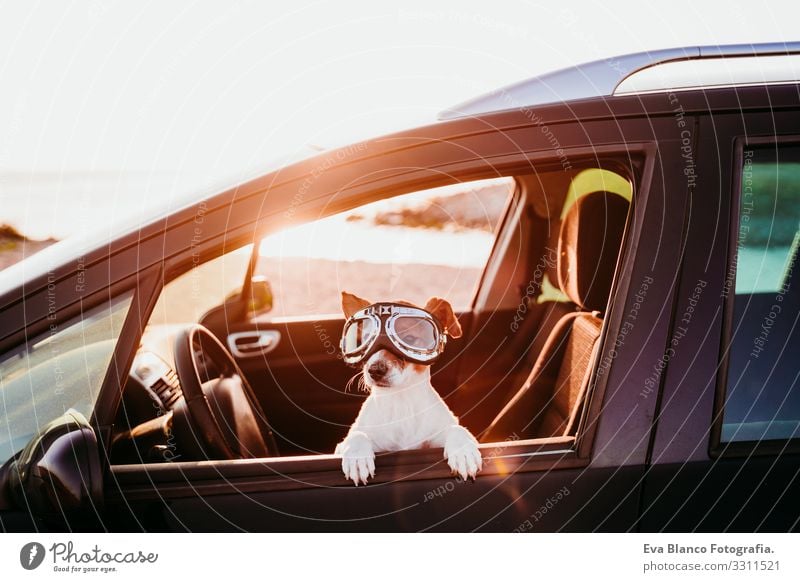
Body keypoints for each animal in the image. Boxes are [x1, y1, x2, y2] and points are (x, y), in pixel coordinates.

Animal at [332, 292, 482, 488]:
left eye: (409, 340)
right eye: (366, 340)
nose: (374, 370)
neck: (401, 401)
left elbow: (457, 429)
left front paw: (464, 451)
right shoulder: (346, 444)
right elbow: (357, 434)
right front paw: (357, 457)